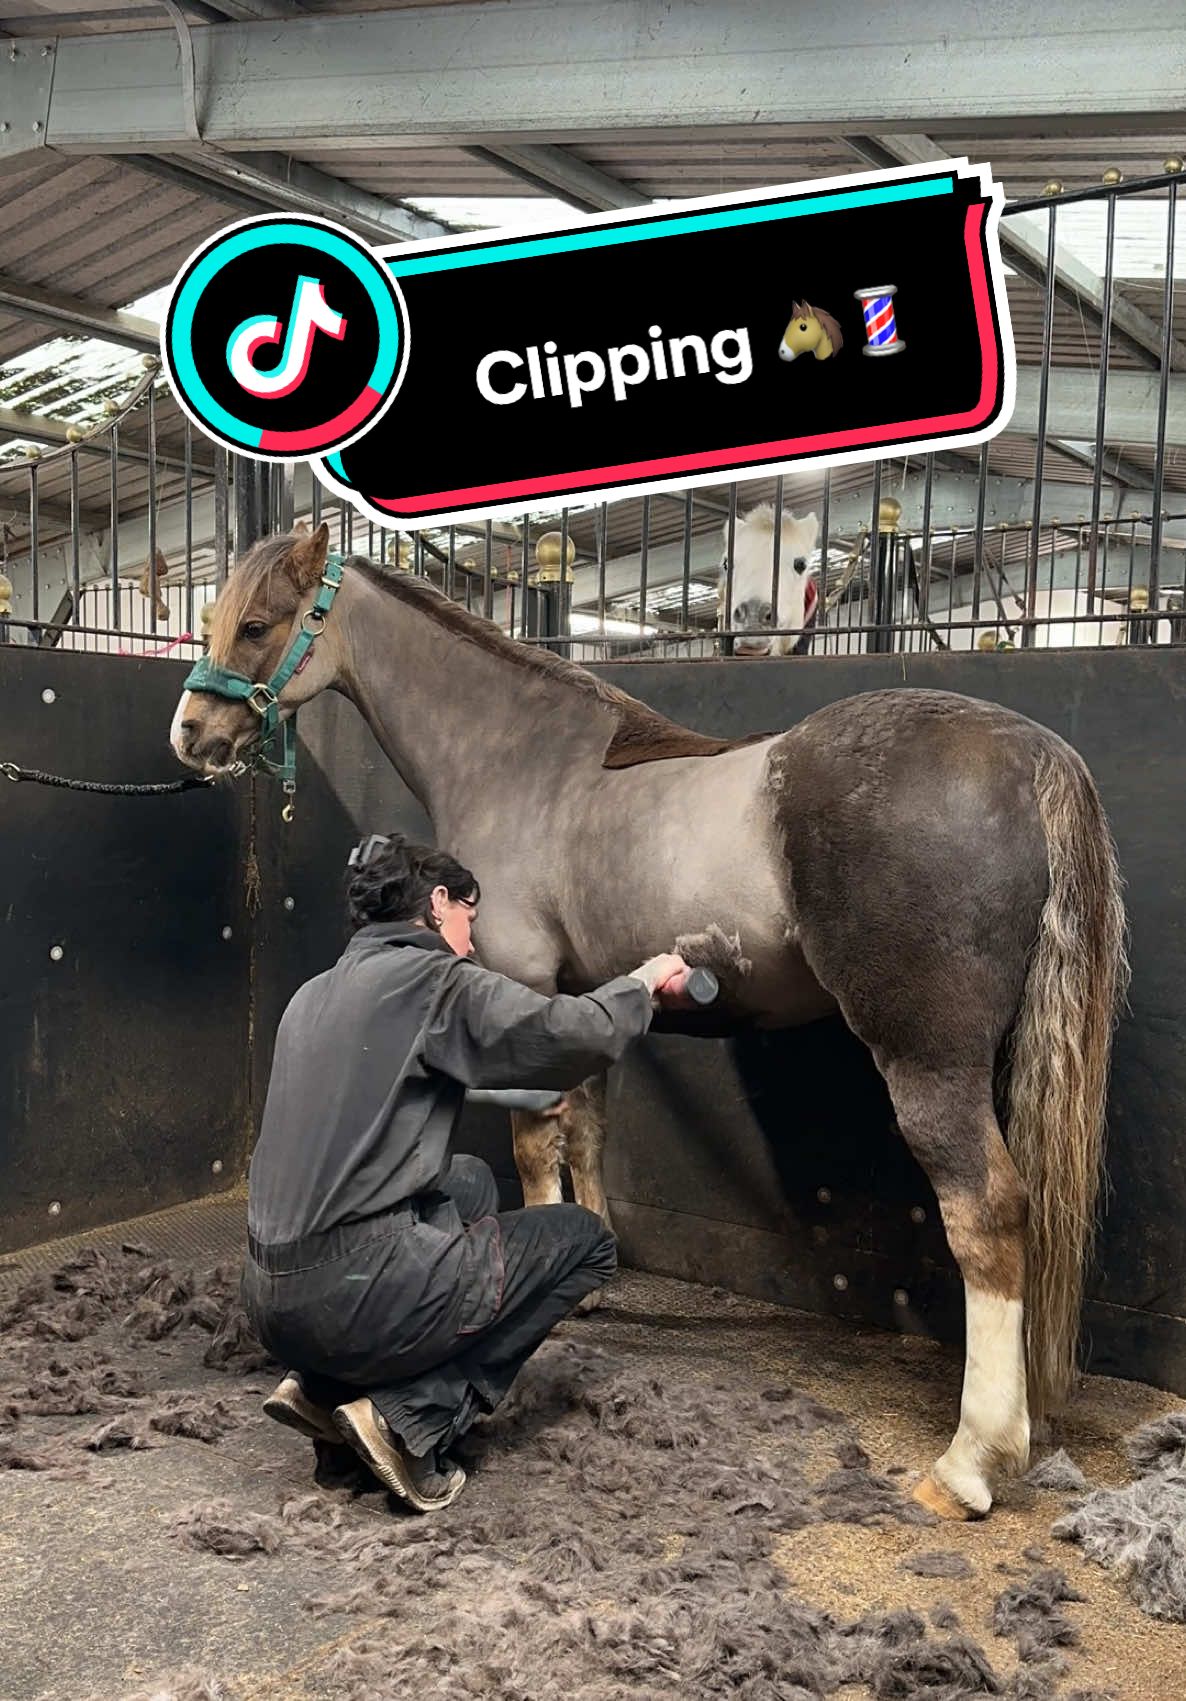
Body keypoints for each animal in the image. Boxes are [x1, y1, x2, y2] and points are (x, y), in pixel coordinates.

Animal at [173, 520, 1129, 1530]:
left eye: (258, 625)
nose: (190, 734)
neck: (524, 759)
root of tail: (1029, 753)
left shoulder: (518, 987)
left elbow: (534, 1145)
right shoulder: (578, 1000)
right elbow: (589, 1132)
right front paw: (593, 1278)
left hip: (926, 1060)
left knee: (986, 1211)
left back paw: (969, 1460)